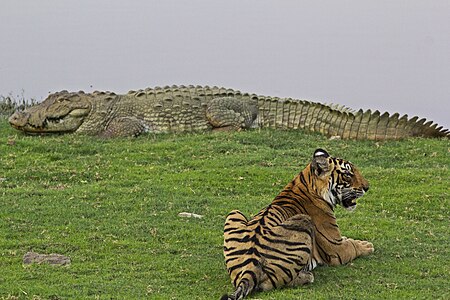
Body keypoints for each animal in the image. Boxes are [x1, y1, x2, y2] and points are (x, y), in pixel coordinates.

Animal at [221, 149, 372, 298]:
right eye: (347, 174)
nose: (367, 187)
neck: (307, 181)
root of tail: (250, 267)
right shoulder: (335, 248)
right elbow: (352, 246)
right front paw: (367, 246)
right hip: (303, 221)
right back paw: (307, 276)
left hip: (234, 212)